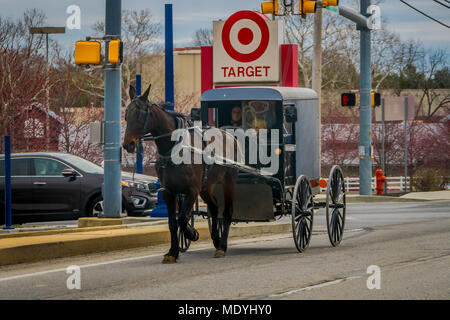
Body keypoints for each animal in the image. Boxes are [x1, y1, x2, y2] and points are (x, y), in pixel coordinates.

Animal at [121, 84, 237, 264]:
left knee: (227, 213)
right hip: (207, 186)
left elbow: (182, 218)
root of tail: (229, 135)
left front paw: (191, 233)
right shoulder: (168, 192)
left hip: (228, 182)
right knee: (214, 209)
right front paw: (173, 251)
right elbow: (173, 223)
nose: (129, 144)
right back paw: (216, 240)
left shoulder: (192, 190)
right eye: (127, 114)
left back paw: (222, 246)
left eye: (140, 114)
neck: (174, 147)